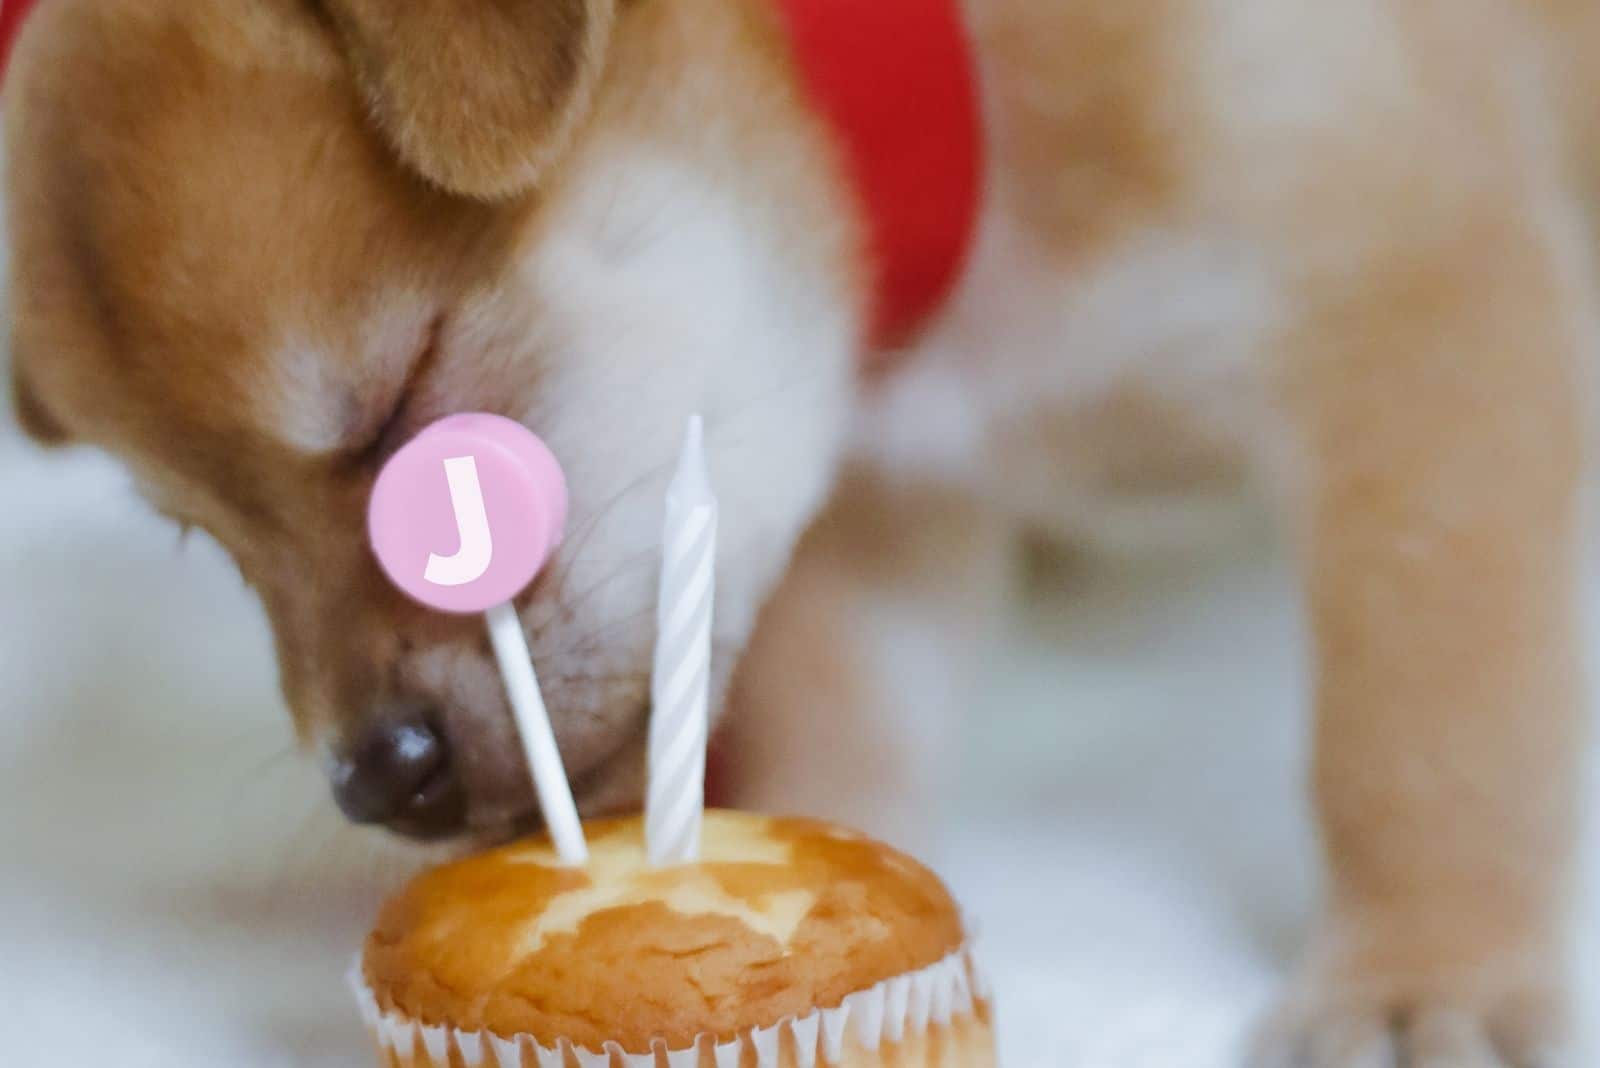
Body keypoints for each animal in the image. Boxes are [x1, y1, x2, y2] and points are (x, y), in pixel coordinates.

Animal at [6, 2, 1593, 1068]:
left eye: (401, 408)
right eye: (206, 539)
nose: (371, 778)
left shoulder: (1416, 338)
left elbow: (1413, 736)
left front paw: (1420, 975)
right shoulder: (879, 511)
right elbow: (846, 733)